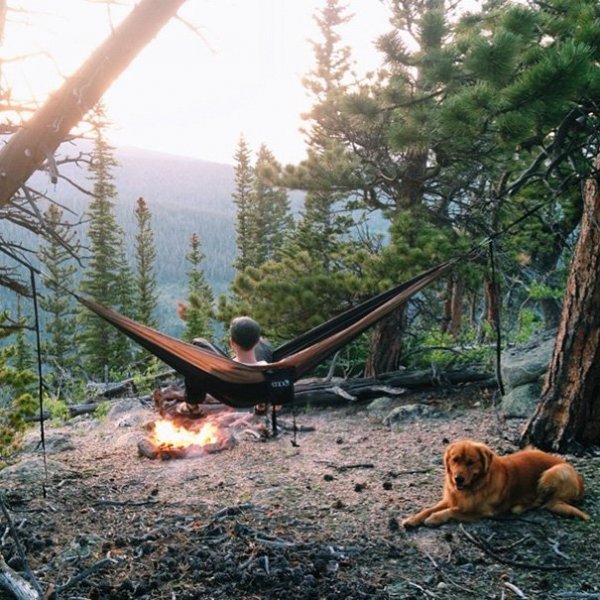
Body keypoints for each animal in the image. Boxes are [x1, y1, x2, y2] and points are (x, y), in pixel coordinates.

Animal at [400, 438, 588, 528]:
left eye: (470, 462)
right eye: (455, 460)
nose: (458, 479)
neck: (475, 486)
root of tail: (580, 482)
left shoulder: (482, 511)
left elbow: (454, 511)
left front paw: (435, 518)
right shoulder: (451, 498)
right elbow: (429, 508)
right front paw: (413, 518)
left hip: (555, 472)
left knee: (542, 502)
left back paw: (520, 506)